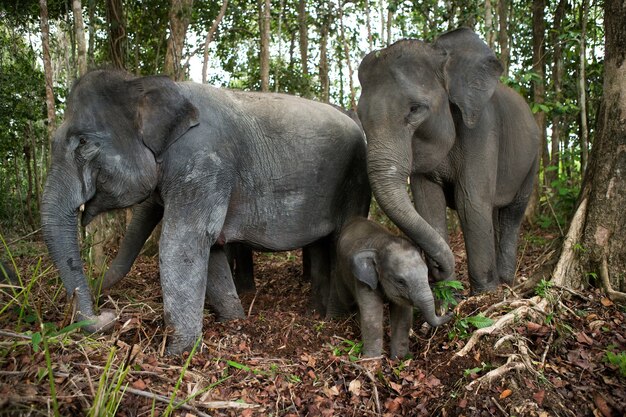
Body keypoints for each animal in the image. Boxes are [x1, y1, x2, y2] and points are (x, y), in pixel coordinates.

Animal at [39, 69, 368, 354]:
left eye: (83, 142)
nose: (107, 313)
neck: (146, 84)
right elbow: (212, 247)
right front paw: (233, 322)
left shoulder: (203, 163)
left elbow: (181, 244)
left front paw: (176, 354)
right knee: (321, 245)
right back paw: (315, 313)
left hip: (354, 183)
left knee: (340, 240)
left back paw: (332, 319)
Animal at [326, 218, 448, 358]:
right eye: (400, 281)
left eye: (426, 272)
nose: (450, 313)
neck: (382, 244)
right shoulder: (364, 281)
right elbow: (372, 315)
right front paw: (372, 359)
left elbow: (402, 317)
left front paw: (400, 358)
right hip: (341, 270)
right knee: (347, 300)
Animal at [358, 27, 540, 292]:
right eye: (359, 115)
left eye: (415, 109)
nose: (434, 268)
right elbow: (428, 204)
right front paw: (450, 292)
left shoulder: (483, 128)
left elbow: (470, 202)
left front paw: (484, 293)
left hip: (532, 160)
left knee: (512, 213)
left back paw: (506, 282)